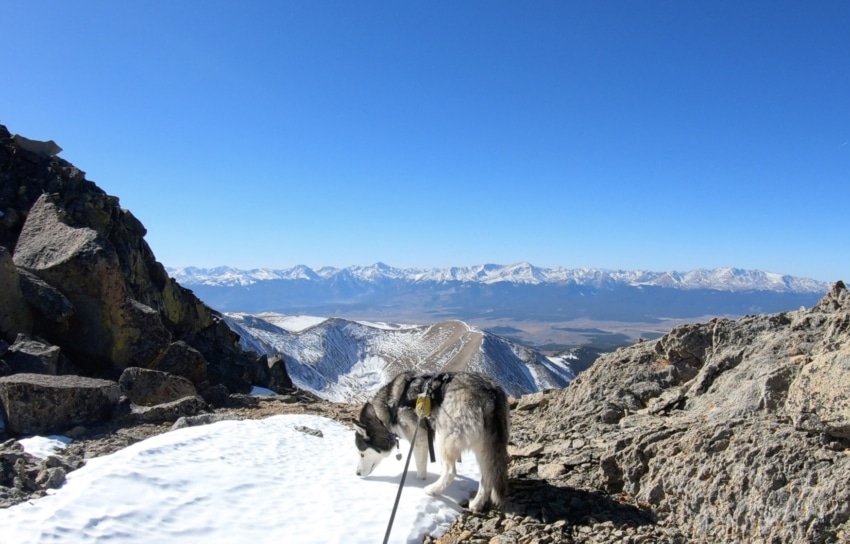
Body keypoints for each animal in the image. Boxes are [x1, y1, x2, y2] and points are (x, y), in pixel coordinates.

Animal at [352, 372, 506, 512]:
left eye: (362, 453)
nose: (357, 474)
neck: (390, 408)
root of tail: (490, 394)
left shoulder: (419, 438)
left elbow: (421, 467)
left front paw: (418, 481)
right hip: (484, 448)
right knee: (487, 476)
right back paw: (476, 504)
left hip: (443, 436)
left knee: (451, 472)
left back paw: (433, 490)